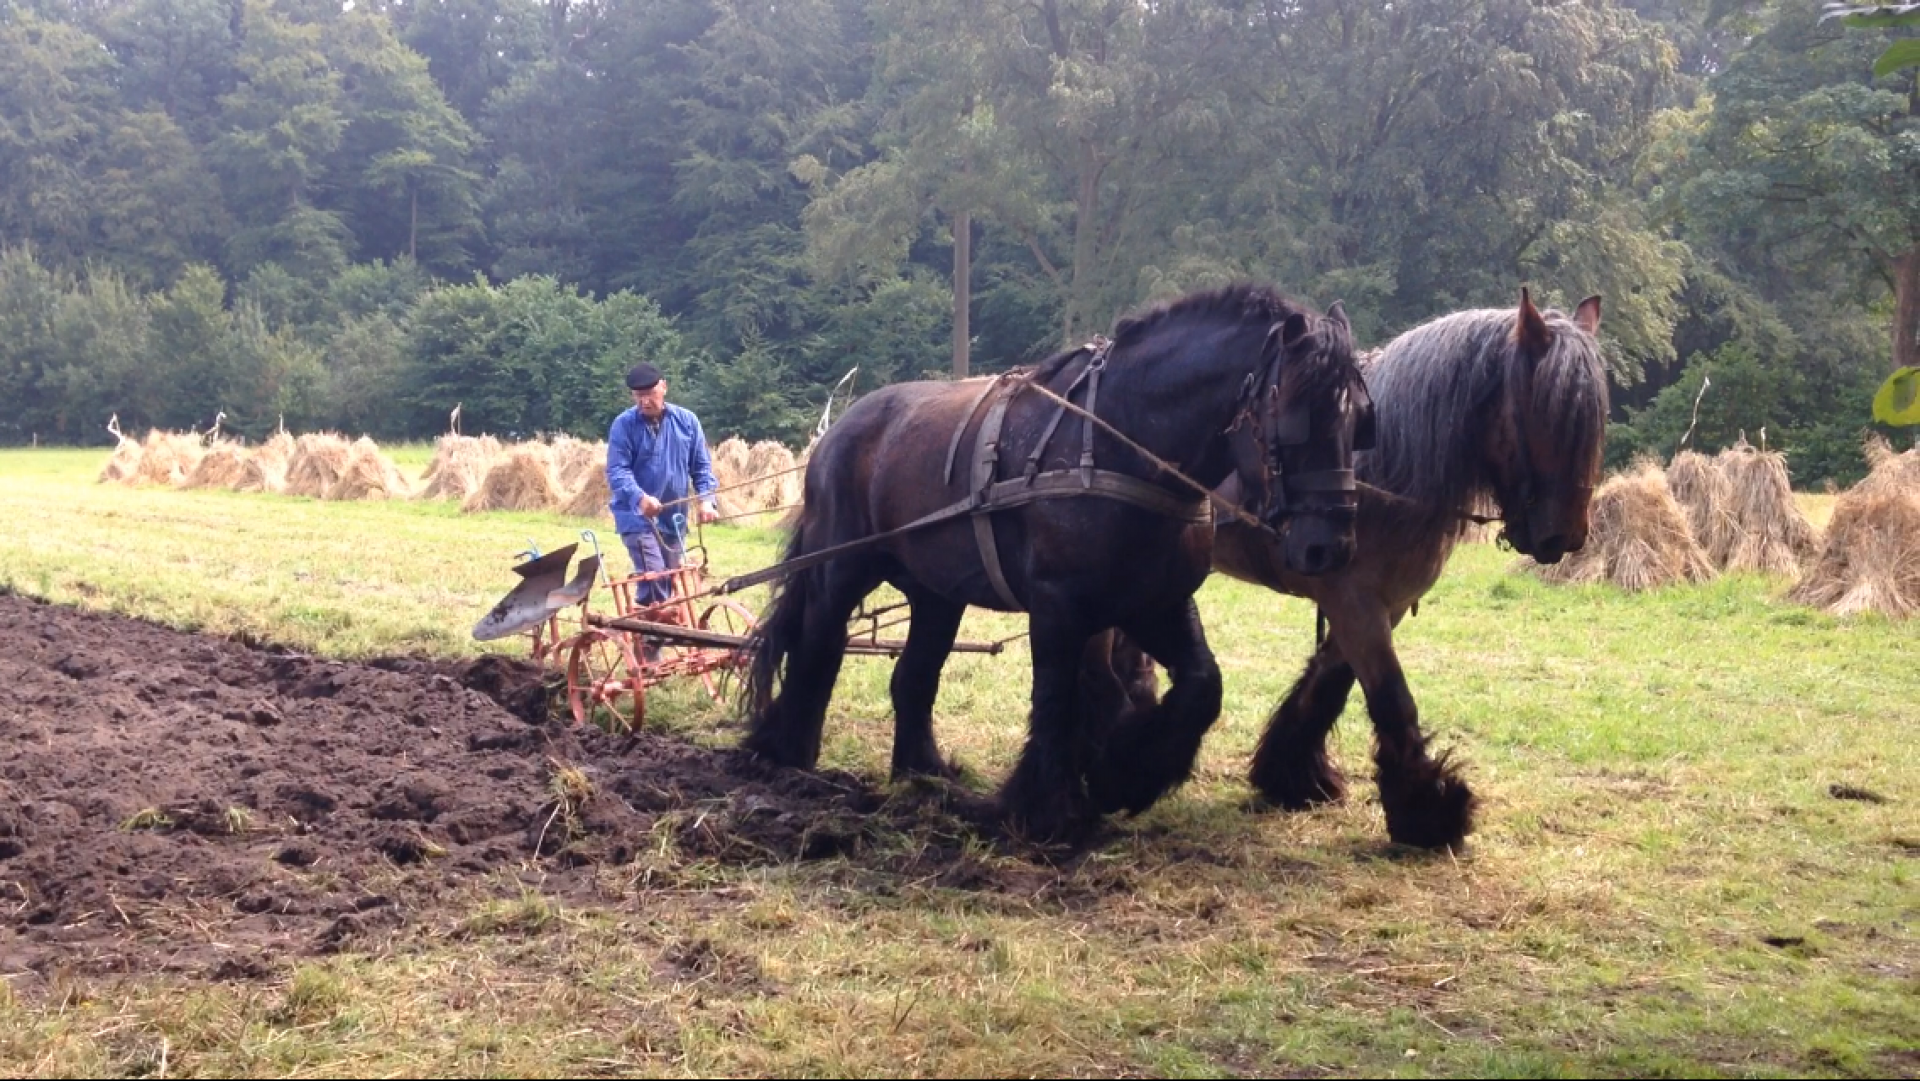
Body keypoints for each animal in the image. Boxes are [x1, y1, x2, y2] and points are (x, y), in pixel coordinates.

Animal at [740, 283, 1373, 846]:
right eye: (1294, 414)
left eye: (1359, 422)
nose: (1331, 547)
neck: (1121, 445)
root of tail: (839, 430)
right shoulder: (1058, 606)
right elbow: (1056, 699)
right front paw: (1046, 810)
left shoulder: (1156, 603)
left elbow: (1201, 684)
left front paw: (1125, 776)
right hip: (839, 570)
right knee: (817, 648)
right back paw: (788, 755)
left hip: (938, 596)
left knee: (912, 677)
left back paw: (923, 772)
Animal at [1204, 288, 1607, 850]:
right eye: (1545, 414)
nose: (1564, 537)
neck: (1377, 472)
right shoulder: (1354, 603)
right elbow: (1393, 699)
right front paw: (1429, 813)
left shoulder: (1381, 606)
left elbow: (1328, 682)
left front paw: (1291, 775)